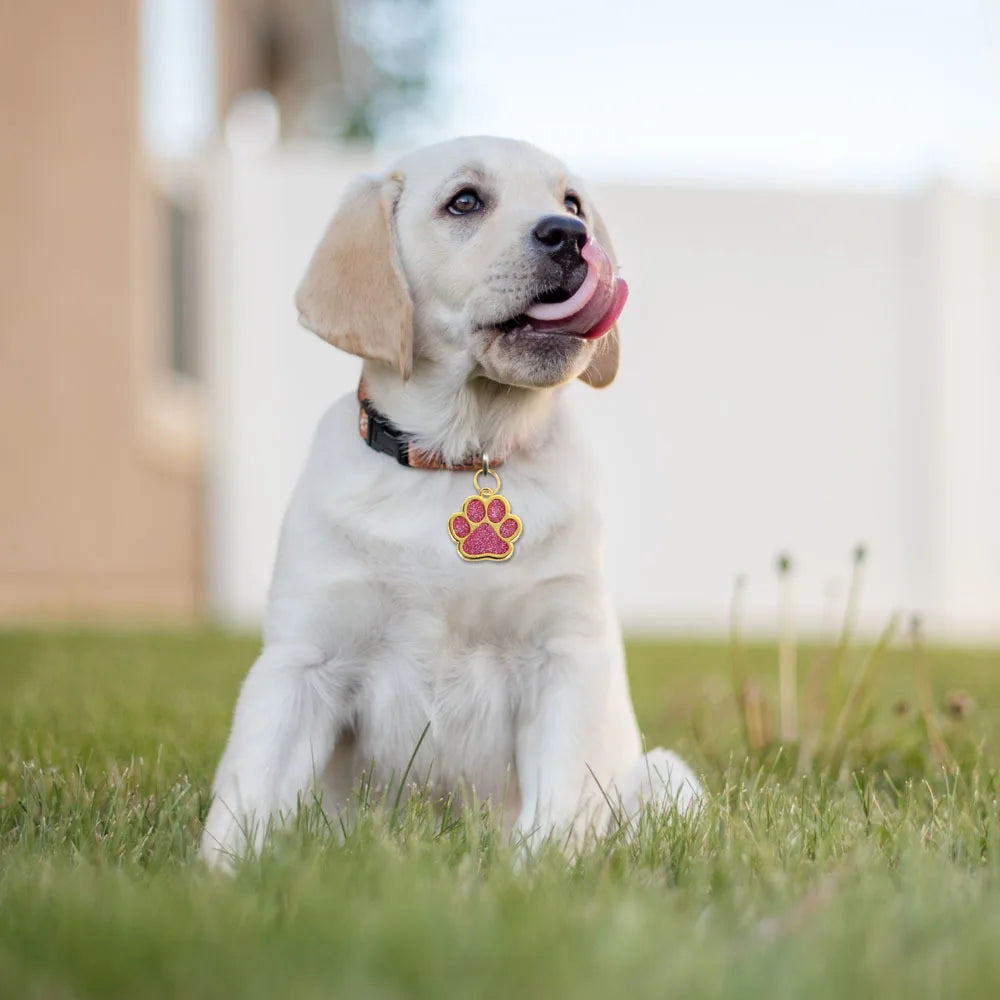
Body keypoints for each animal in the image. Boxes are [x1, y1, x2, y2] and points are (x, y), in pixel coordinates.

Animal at [199, 135, 700, 868]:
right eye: (465, 201)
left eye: (572, 202)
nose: (570, 236)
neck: (461, 457)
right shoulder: (303, 661)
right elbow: (247, 794)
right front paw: (219, 879)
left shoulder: (565, 657)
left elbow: (555, 808)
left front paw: (536, 878)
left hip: (667, 775)